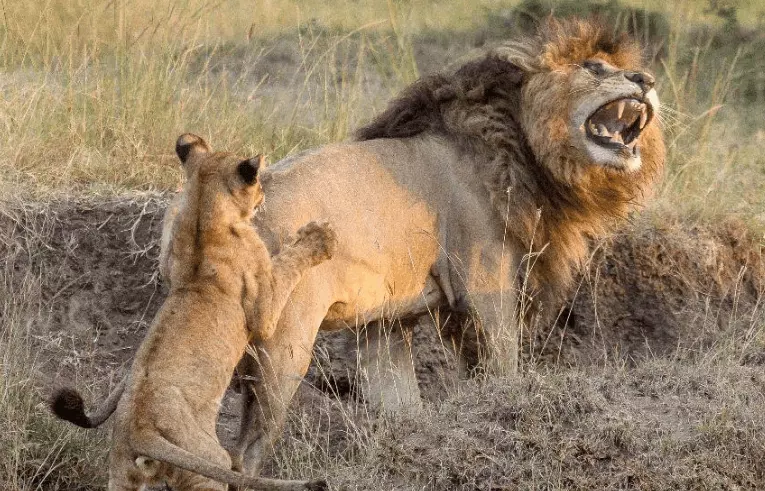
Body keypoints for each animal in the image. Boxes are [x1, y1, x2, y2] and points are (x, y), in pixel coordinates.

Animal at [50, 133, 332, 490]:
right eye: (257, 184)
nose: (263, 196)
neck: (202, 209)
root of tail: (141, 431)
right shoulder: (263, 311)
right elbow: (287, 263)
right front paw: (319, 238)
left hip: (123, 477)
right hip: (206, 469)